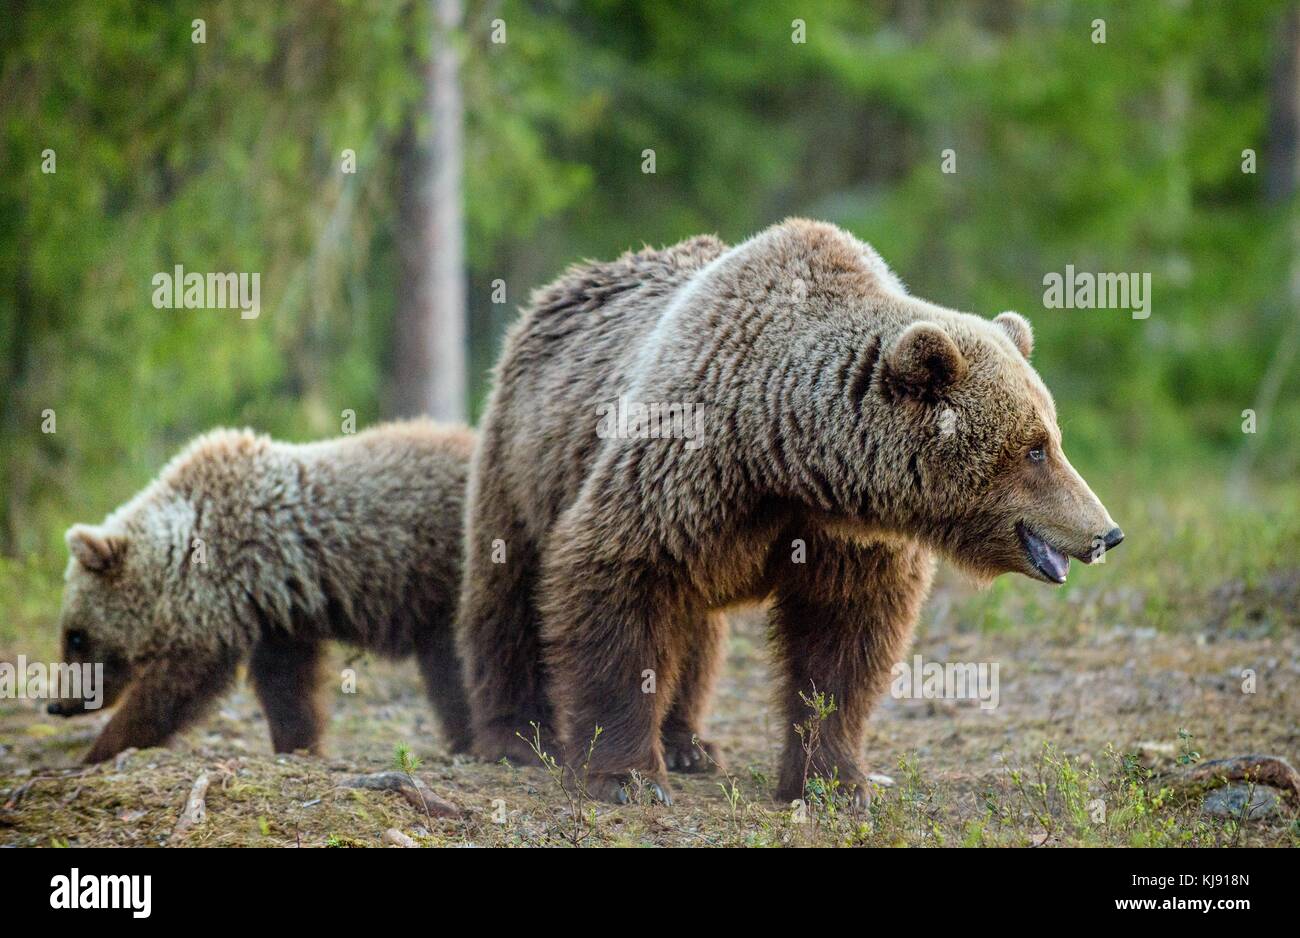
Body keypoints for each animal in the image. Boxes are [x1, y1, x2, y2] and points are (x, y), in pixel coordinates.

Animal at [48, 419, 476, 765]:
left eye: (76, 636)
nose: (58, 704)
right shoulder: (278, 610)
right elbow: (285, 683)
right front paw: (300, 744)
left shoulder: (219, 594)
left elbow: (176, 684)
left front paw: (99, 750)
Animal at [457, 218, 1123, 805]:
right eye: (1035, 447)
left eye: (1052, 434)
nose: (1107, 532)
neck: (784, 455)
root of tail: (563, 286)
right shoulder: (683, 465)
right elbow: (617, 583)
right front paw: (625, 777)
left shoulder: (846, 536)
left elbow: (842, 644)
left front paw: (835, 781)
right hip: (523, 458)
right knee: (508, 592)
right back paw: (517, 734)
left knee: (693, 632)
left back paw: (688, 743)